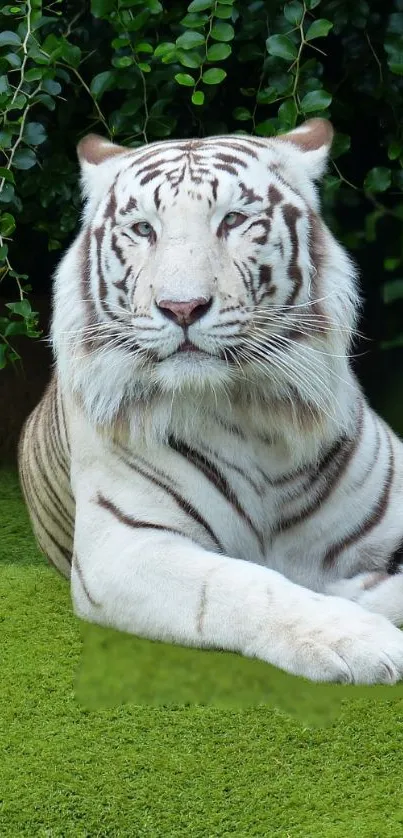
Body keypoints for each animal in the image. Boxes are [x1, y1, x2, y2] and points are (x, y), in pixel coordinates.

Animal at [19, 118, 403, 684]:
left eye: (234, 220)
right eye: (143, 229)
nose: (182, 307)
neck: (255, 413)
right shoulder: (125, 547)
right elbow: (242, 585)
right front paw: (358, 637)